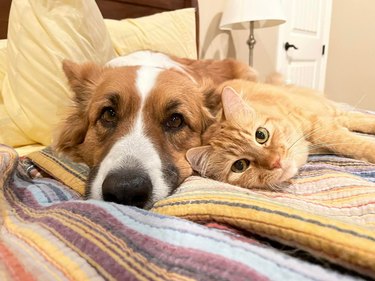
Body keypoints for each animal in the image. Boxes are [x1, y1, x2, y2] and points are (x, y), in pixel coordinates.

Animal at [187, 79, 375, 189]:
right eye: (239, 165)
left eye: (261, 135)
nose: (276, 161)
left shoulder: (317, 124)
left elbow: (350, 143)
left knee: (352, 117)